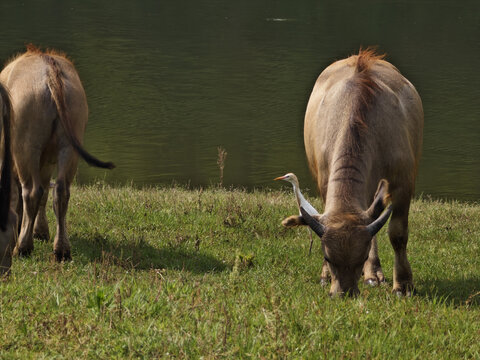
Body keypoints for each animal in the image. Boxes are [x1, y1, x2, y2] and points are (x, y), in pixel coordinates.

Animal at [282, 48, 424, 296]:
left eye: (360, 258)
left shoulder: (404, 183)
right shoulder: (325, 180)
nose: (344, 293)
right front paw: (326, 276)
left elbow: (397, 234)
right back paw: (373, 274)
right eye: (328, 257)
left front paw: (403, 284)